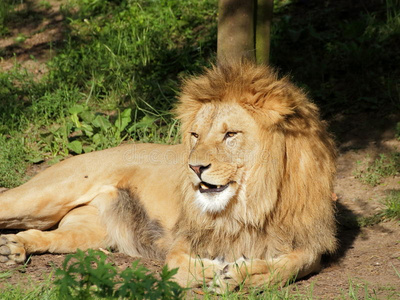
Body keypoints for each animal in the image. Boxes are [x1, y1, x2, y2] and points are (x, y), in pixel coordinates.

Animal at [0, 61, 338, 290]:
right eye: (195, 135)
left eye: (230, 134)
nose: (195, 167)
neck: (252, 203)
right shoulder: (184, 239)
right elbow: (180, 264)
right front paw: (218, 271)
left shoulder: (308, 240)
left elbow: (294, 265)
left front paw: (245, 273)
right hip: (45, 197)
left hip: (89, 231)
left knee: (49, 235)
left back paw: (14, 247)